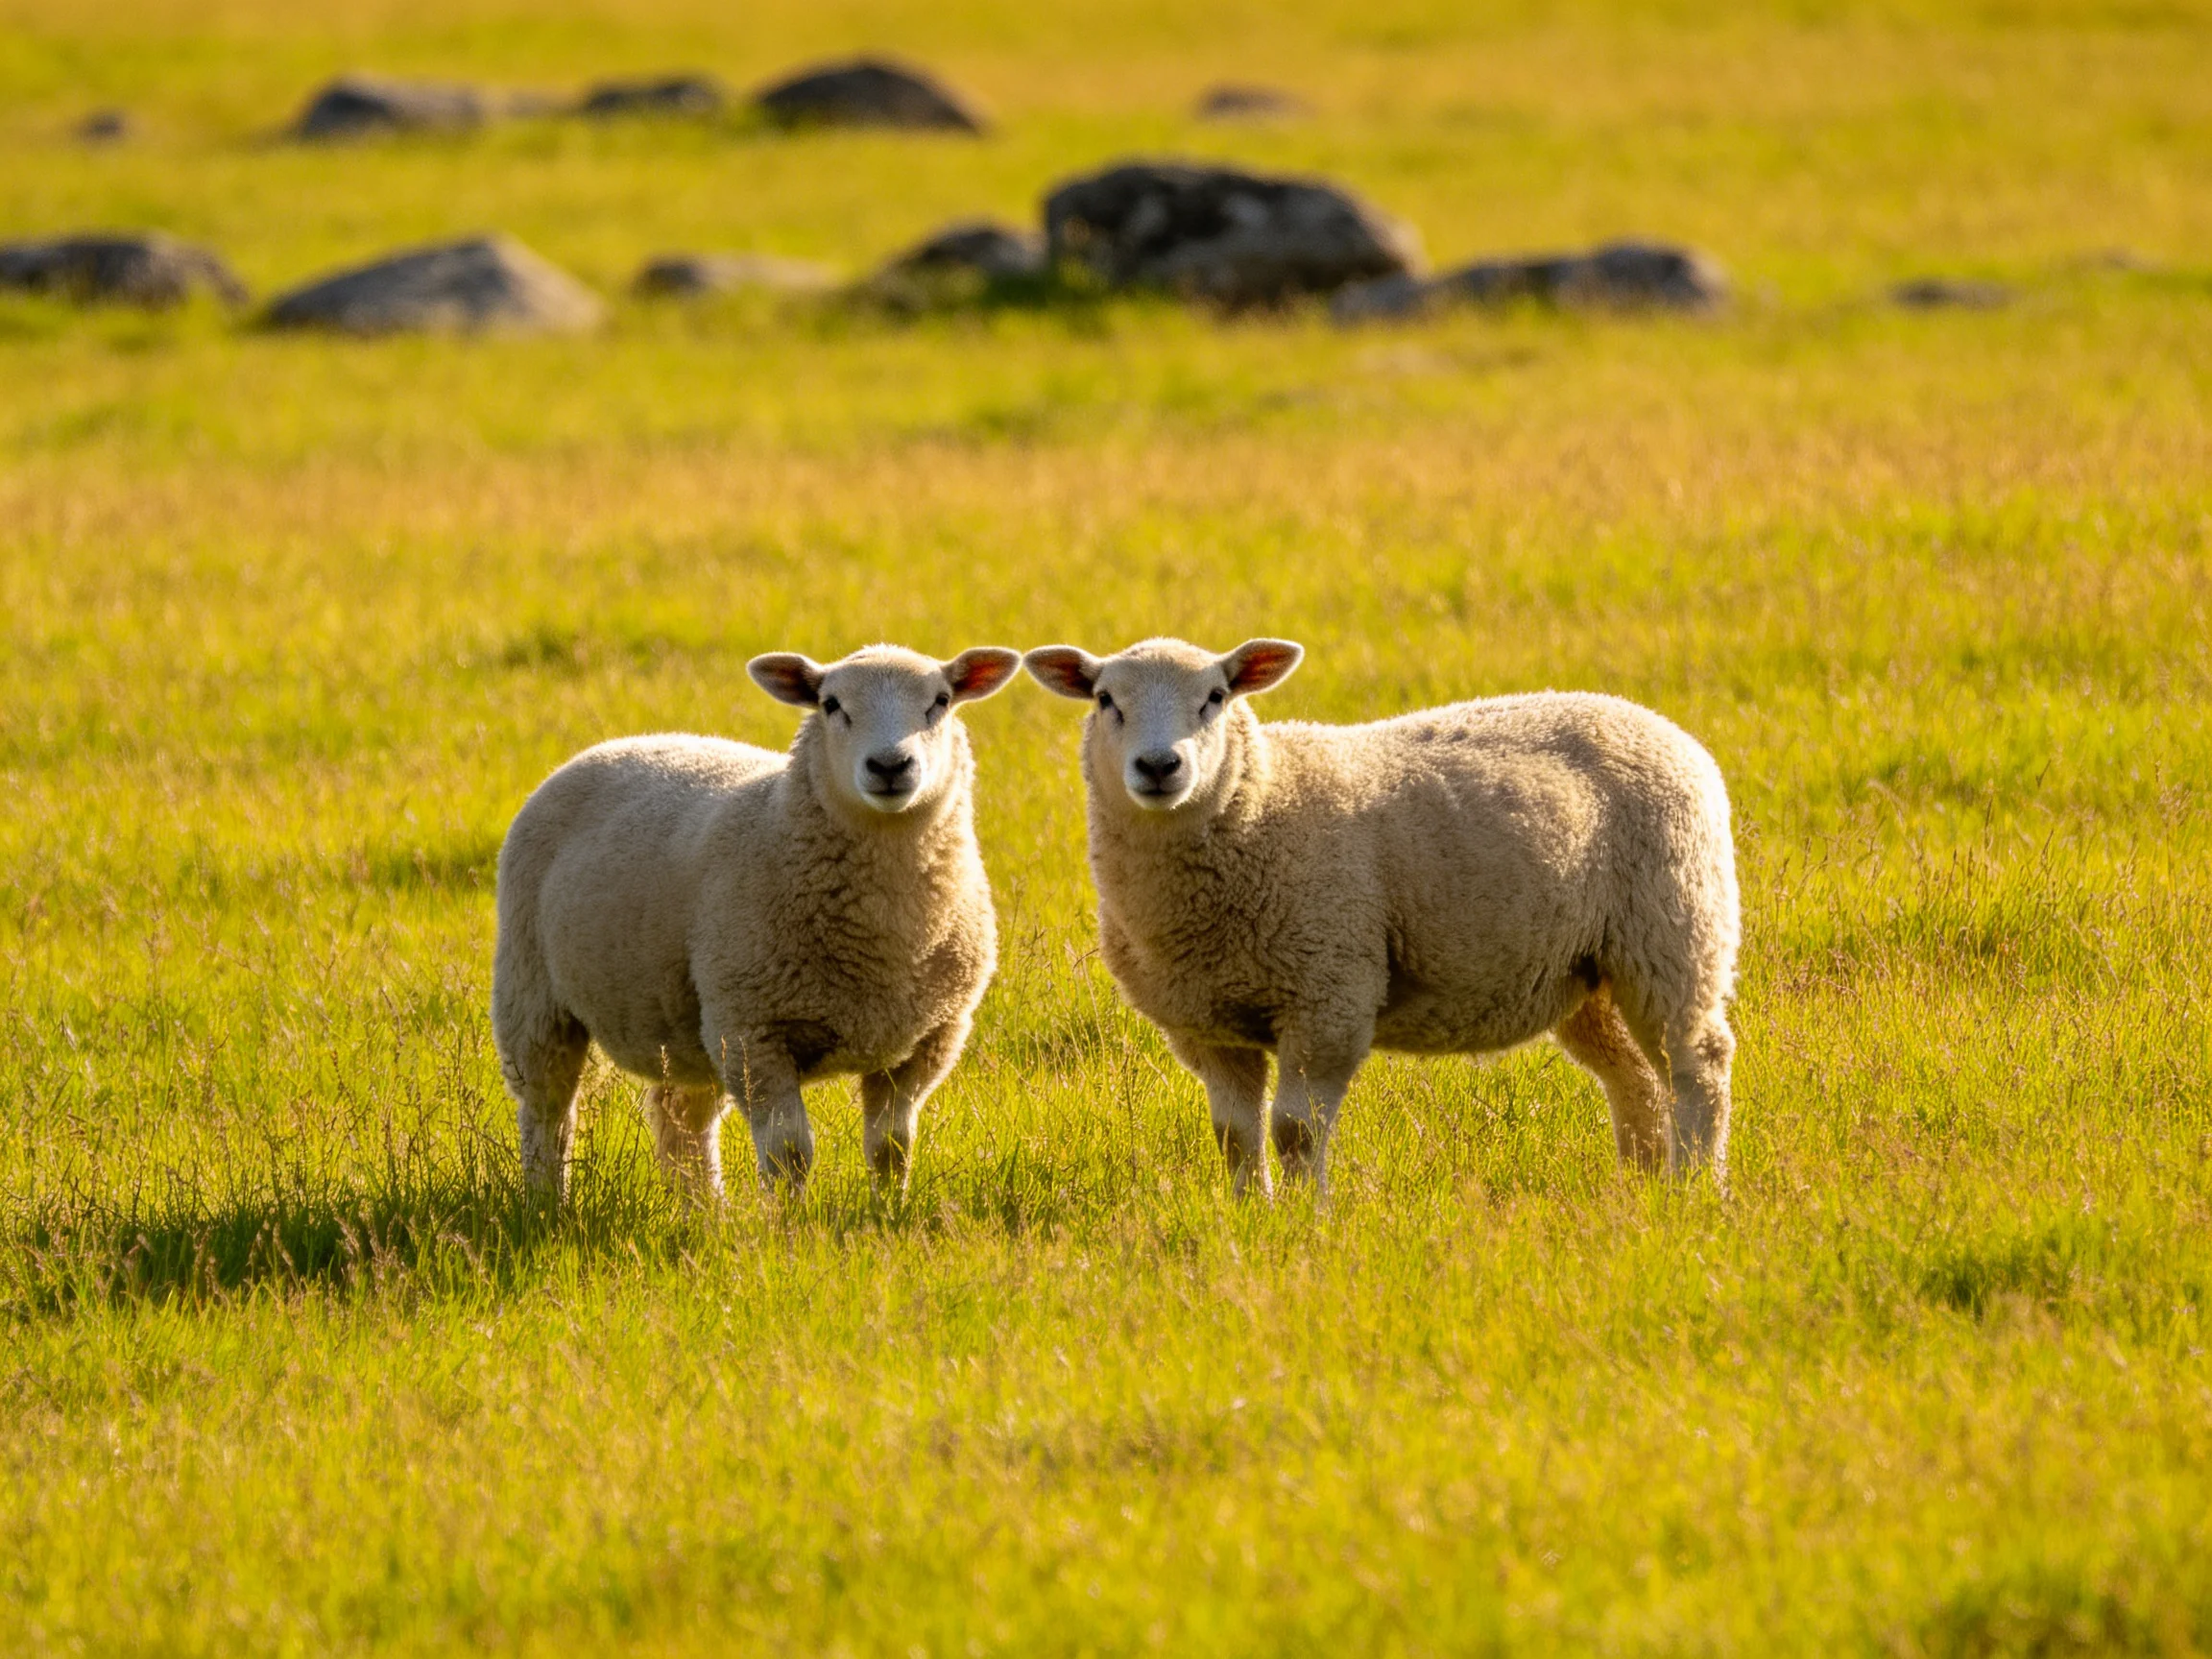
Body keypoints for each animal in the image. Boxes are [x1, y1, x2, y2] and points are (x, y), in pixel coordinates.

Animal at [492, 643, 1022, 1202]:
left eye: (940, 701)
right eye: (831, 704)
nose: (889, 765)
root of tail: (622, 742)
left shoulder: (928, 1039)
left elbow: (891, 1147)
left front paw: (888, 1211)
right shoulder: (754, 1032)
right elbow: (790, 1153)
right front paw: (788, 1220)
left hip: (689, 1026)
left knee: (682, 1120)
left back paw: (705, 1210)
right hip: (534, 994)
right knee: (548, 1114)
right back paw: (547, 1201)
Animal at [1023, 637, 1740, 1197]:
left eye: (1216, 697)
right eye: (1105, 700)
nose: (1159, 765)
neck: (1261, 805)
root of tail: (1655, 723)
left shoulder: (1328, 995)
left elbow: (1296, 1132)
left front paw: (1305, 1223)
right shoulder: (1208, 1024)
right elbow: (1233, 1136)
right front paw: (1251, 1215)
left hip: (1672, 930)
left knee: (1696, 1066)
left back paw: (1693, 1188)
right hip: (1584, 972)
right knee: (1634, 1079)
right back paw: (1639, 1186)